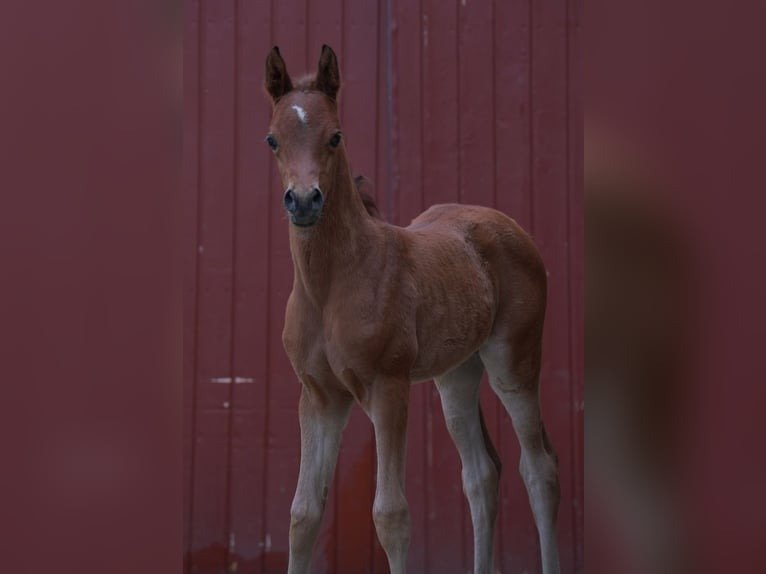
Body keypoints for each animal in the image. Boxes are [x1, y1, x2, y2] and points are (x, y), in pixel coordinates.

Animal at [264, 45, 560, 574]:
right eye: (272, 139)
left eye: (335, 136)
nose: (303, 201)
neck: (330, 288)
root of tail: (507, 224)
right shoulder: (319, 397)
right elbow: (303, 515)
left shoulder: (389, 388)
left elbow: (391, 515)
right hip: (456, 376)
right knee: (481, 473)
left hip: (514, 363)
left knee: (539, 468)